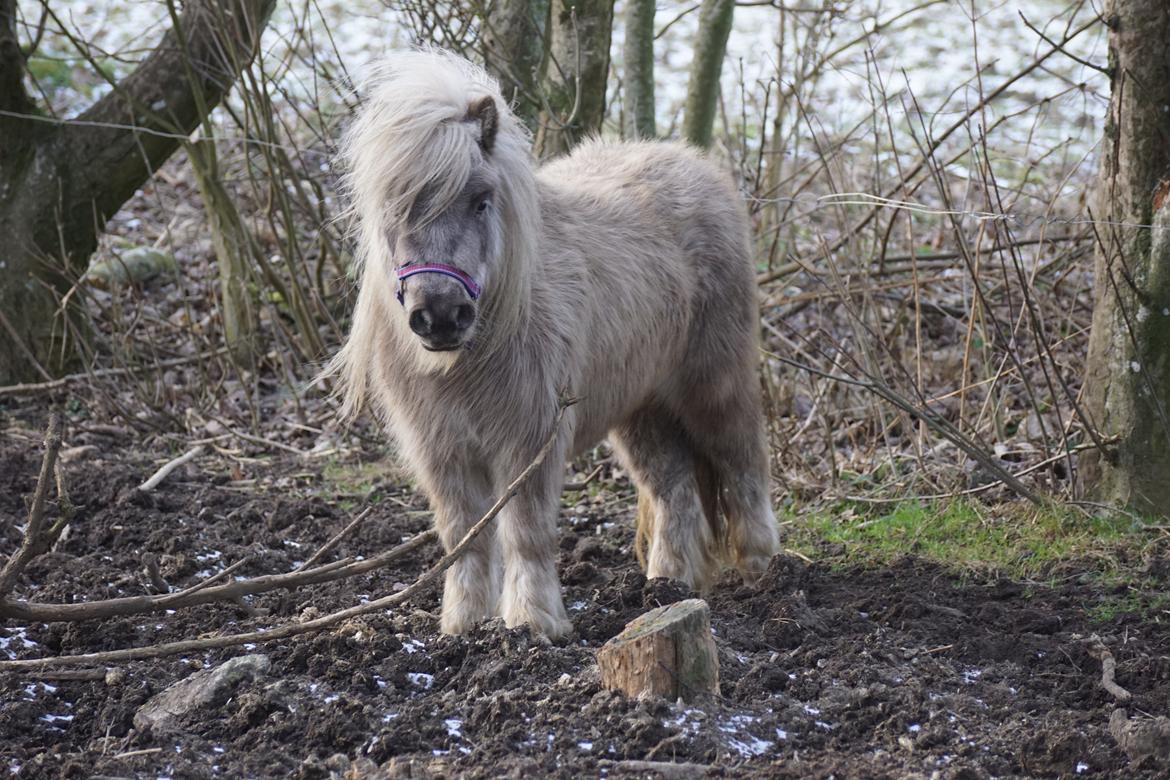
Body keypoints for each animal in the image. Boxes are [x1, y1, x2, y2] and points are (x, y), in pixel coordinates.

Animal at [329, 53, 776, 640]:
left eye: (481, 201)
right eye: (394, 208)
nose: (441, 316)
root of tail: (697, 165)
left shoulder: (529, 440)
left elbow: (524, 532)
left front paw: (532, 623)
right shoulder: (442, 451)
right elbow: (463, 537)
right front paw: (464, 625)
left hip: (712, 384)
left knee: (743, 459)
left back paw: (762, 569)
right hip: (641, 409)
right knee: (673, 489)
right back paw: (669, 587)